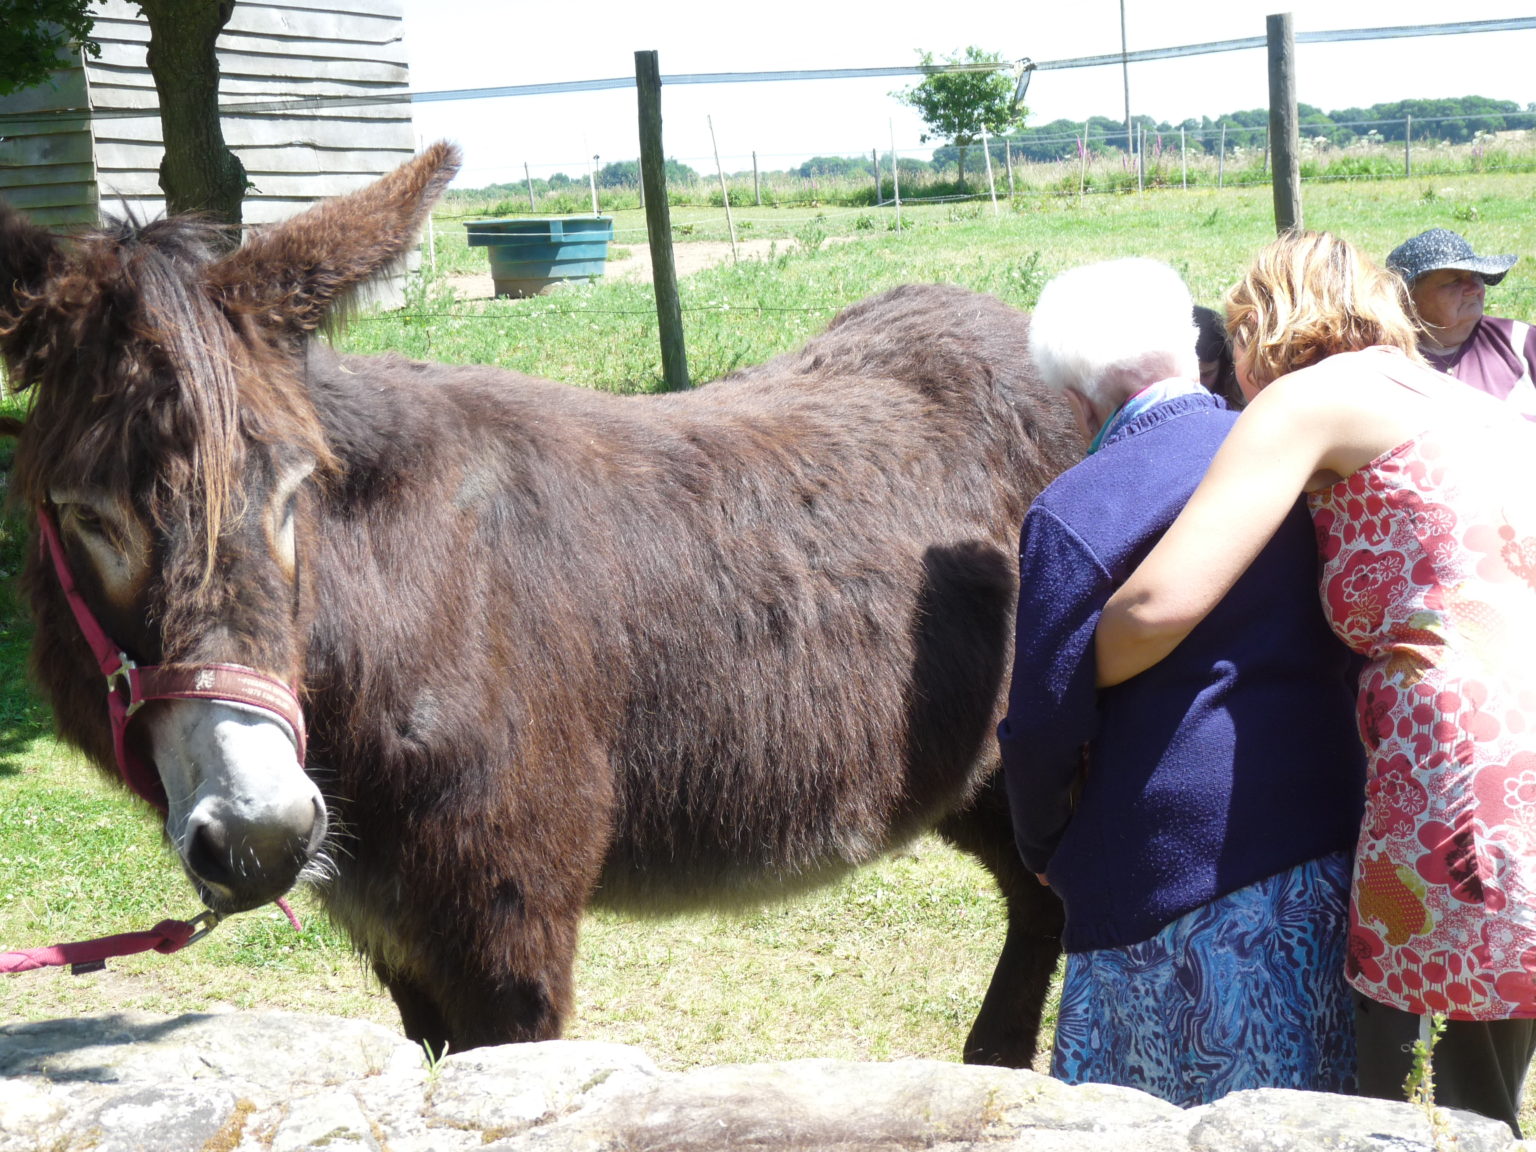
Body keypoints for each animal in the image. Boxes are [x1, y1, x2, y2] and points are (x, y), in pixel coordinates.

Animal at [0, 142, 1082, 1063]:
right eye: (84, 515)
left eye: (293, 491)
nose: (262, 836)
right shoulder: (396, 937)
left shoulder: (507, 922)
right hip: (970, 773)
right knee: (1041, 900)